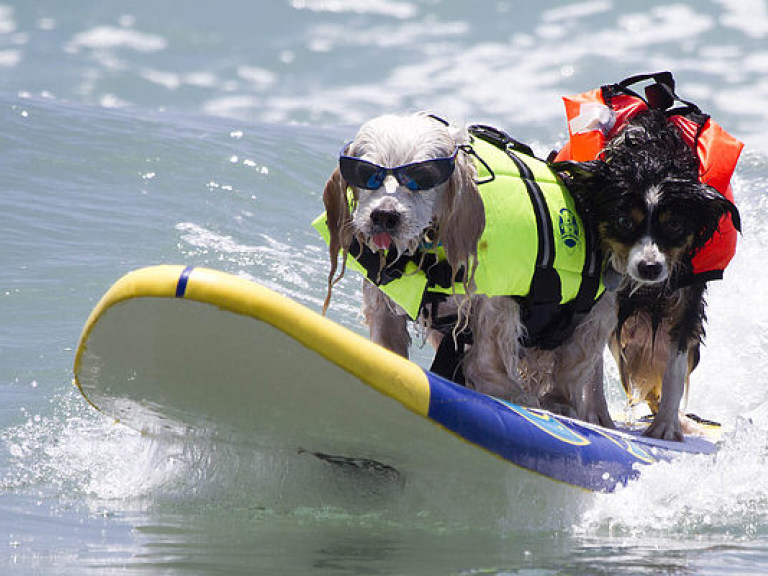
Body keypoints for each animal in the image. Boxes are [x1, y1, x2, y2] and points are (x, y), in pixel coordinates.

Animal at [318, 111, 616, 424]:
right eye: (366, 174)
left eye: (423, 178)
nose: (384, 216)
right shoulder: (382, 299)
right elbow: (387, 343)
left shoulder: (497, 300)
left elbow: (487, 358)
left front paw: (513, 397)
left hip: (594, 319)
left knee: (573, 371)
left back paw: (560, 405)